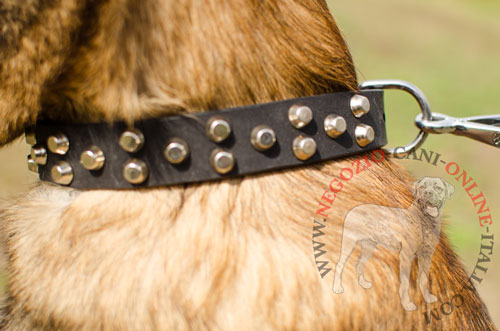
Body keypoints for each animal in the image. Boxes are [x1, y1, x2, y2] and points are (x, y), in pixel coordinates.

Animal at [334, 178, 456, 312]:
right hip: (348, 242)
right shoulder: (406, 256)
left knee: (359, 264)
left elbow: (424, 279)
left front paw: (427, 297)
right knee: (340, 264)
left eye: (438, 188)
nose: (428, 193)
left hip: (369, 246)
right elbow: (405, 283)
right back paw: (337, 288)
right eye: (422, 187)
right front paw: (407, 304)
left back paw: (364, 283)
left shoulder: (427, 255)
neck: (425, 222)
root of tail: (354, 208)